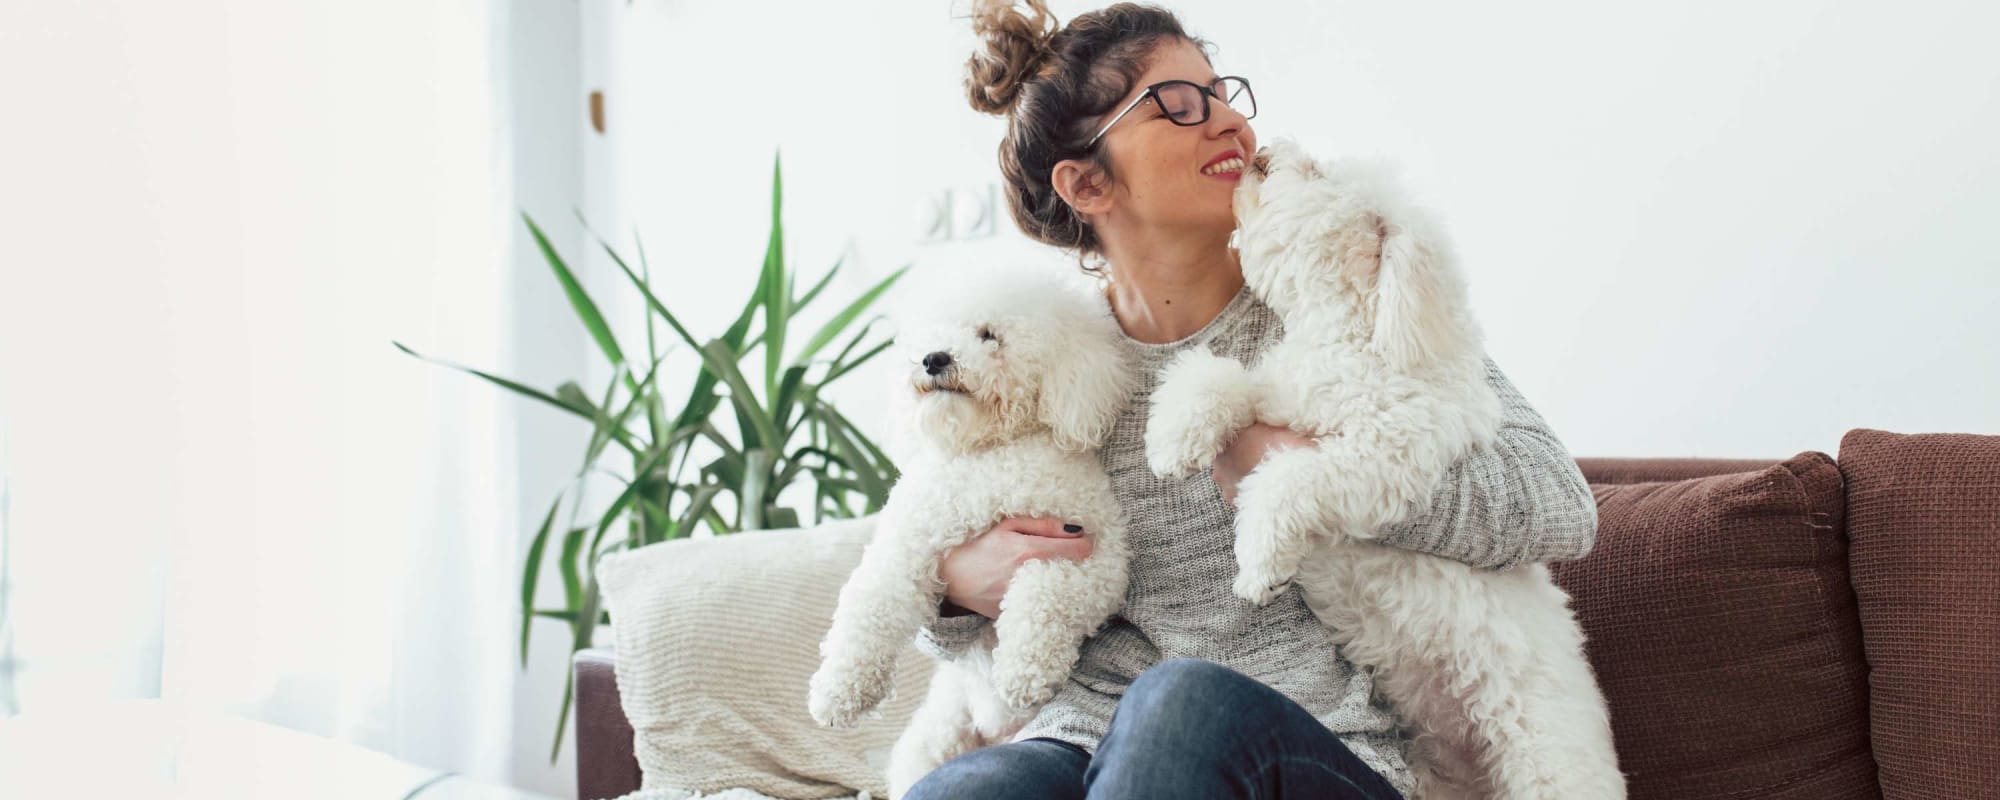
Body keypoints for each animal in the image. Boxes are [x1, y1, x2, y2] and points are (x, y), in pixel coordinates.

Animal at [804, 268, 1136, 800]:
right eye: (930, 334)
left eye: (989, 335)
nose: (934, 358)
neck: (989, 453)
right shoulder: (906, 546)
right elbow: (868, 606)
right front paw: (837, 692)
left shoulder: (1094, 559)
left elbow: (1043, 591)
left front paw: (1025, 670)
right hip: (934, 738)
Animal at [1144, 141, 1624, 796]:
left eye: (1317, 171)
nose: (1266, 149)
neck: (1353, 342)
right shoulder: (1282, 392)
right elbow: (1218, 376)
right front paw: (1173, 438)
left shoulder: (1384, 460)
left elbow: (1288, 479)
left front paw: (1260, 566)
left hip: (1547, 769)